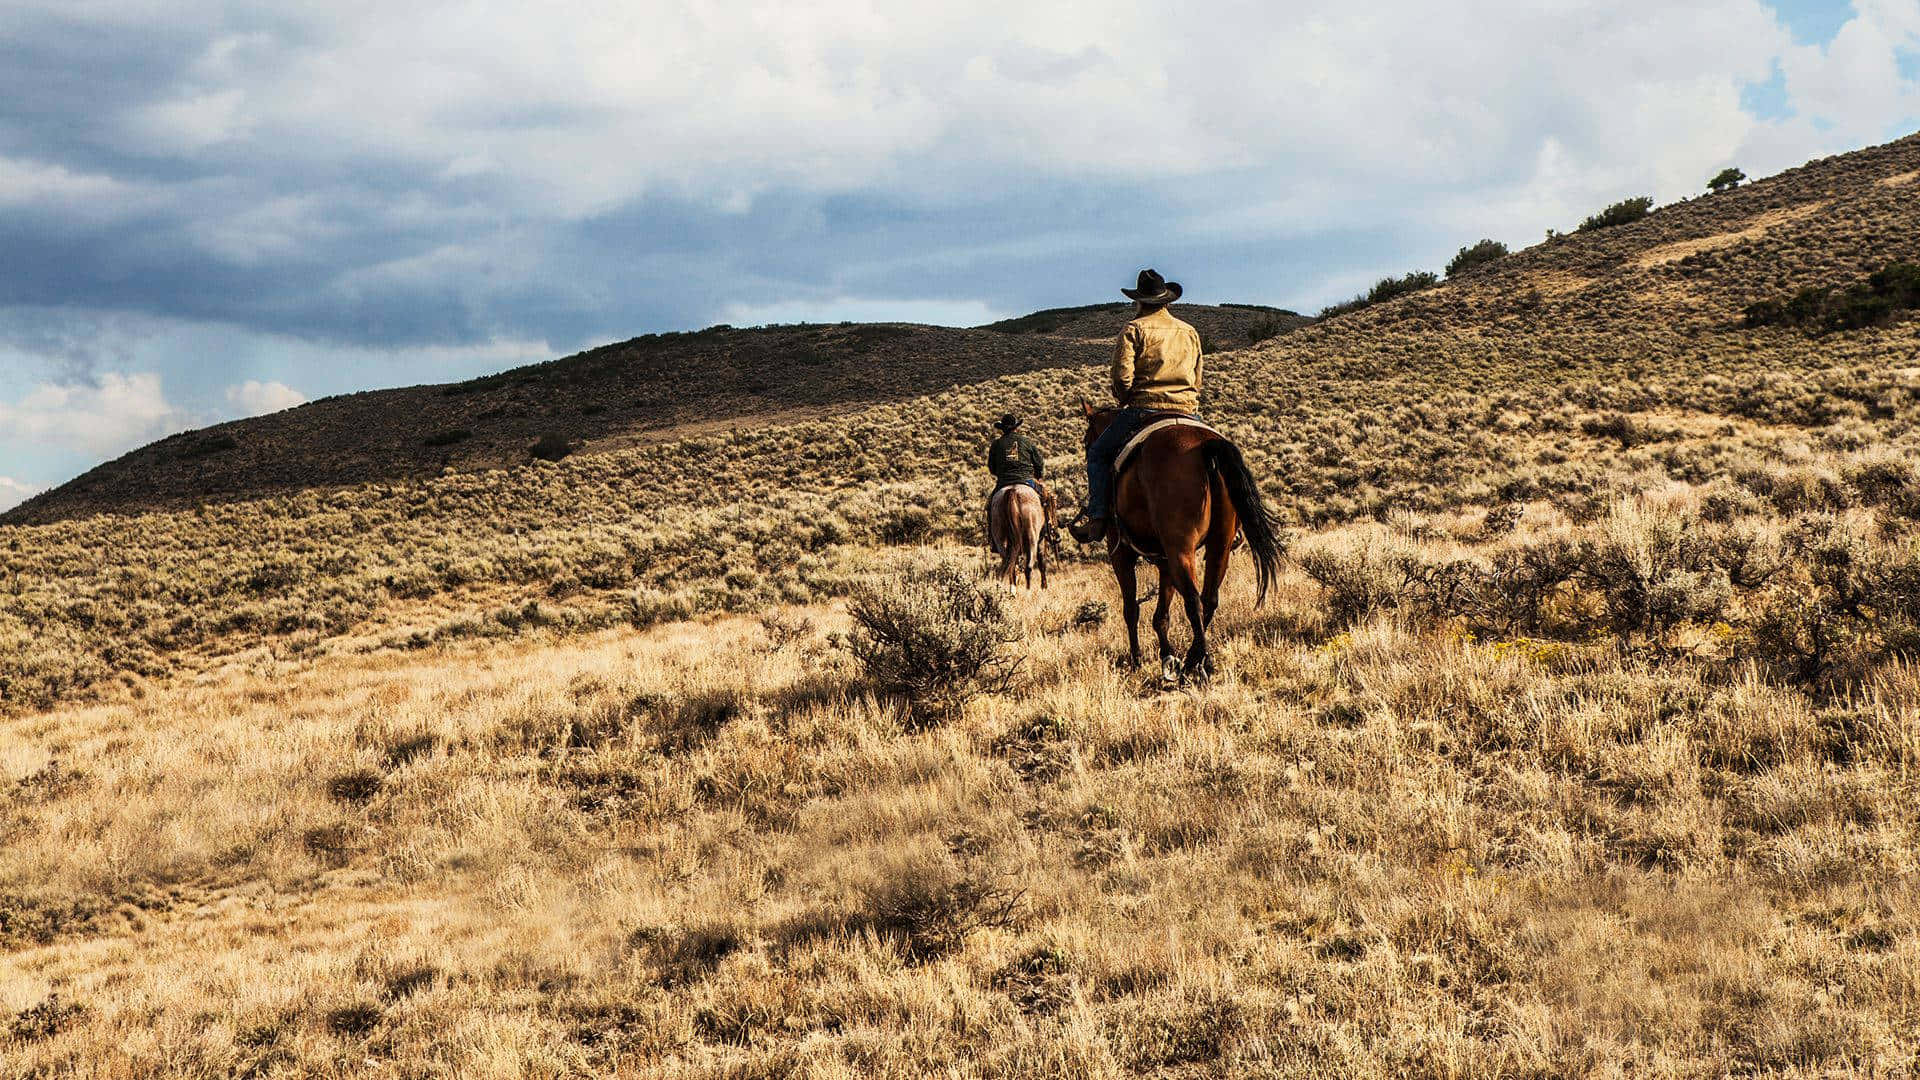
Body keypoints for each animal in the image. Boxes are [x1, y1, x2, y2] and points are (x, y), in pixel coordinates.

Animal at [1075, 399, 1282, 676]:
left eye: (1087, 442)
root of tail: (1204, 445)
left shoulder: (1120, 552)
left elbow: (1131, 609)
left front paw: (1137, 660)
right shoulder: (1164, 559)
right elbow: (1161, 614)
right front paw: (1167, 656)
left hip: (1181, 548)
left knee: (1194, 600)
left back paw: (1199, 663)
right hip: (1219, 544)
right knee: (1209, 598)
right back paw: (1193, 660)